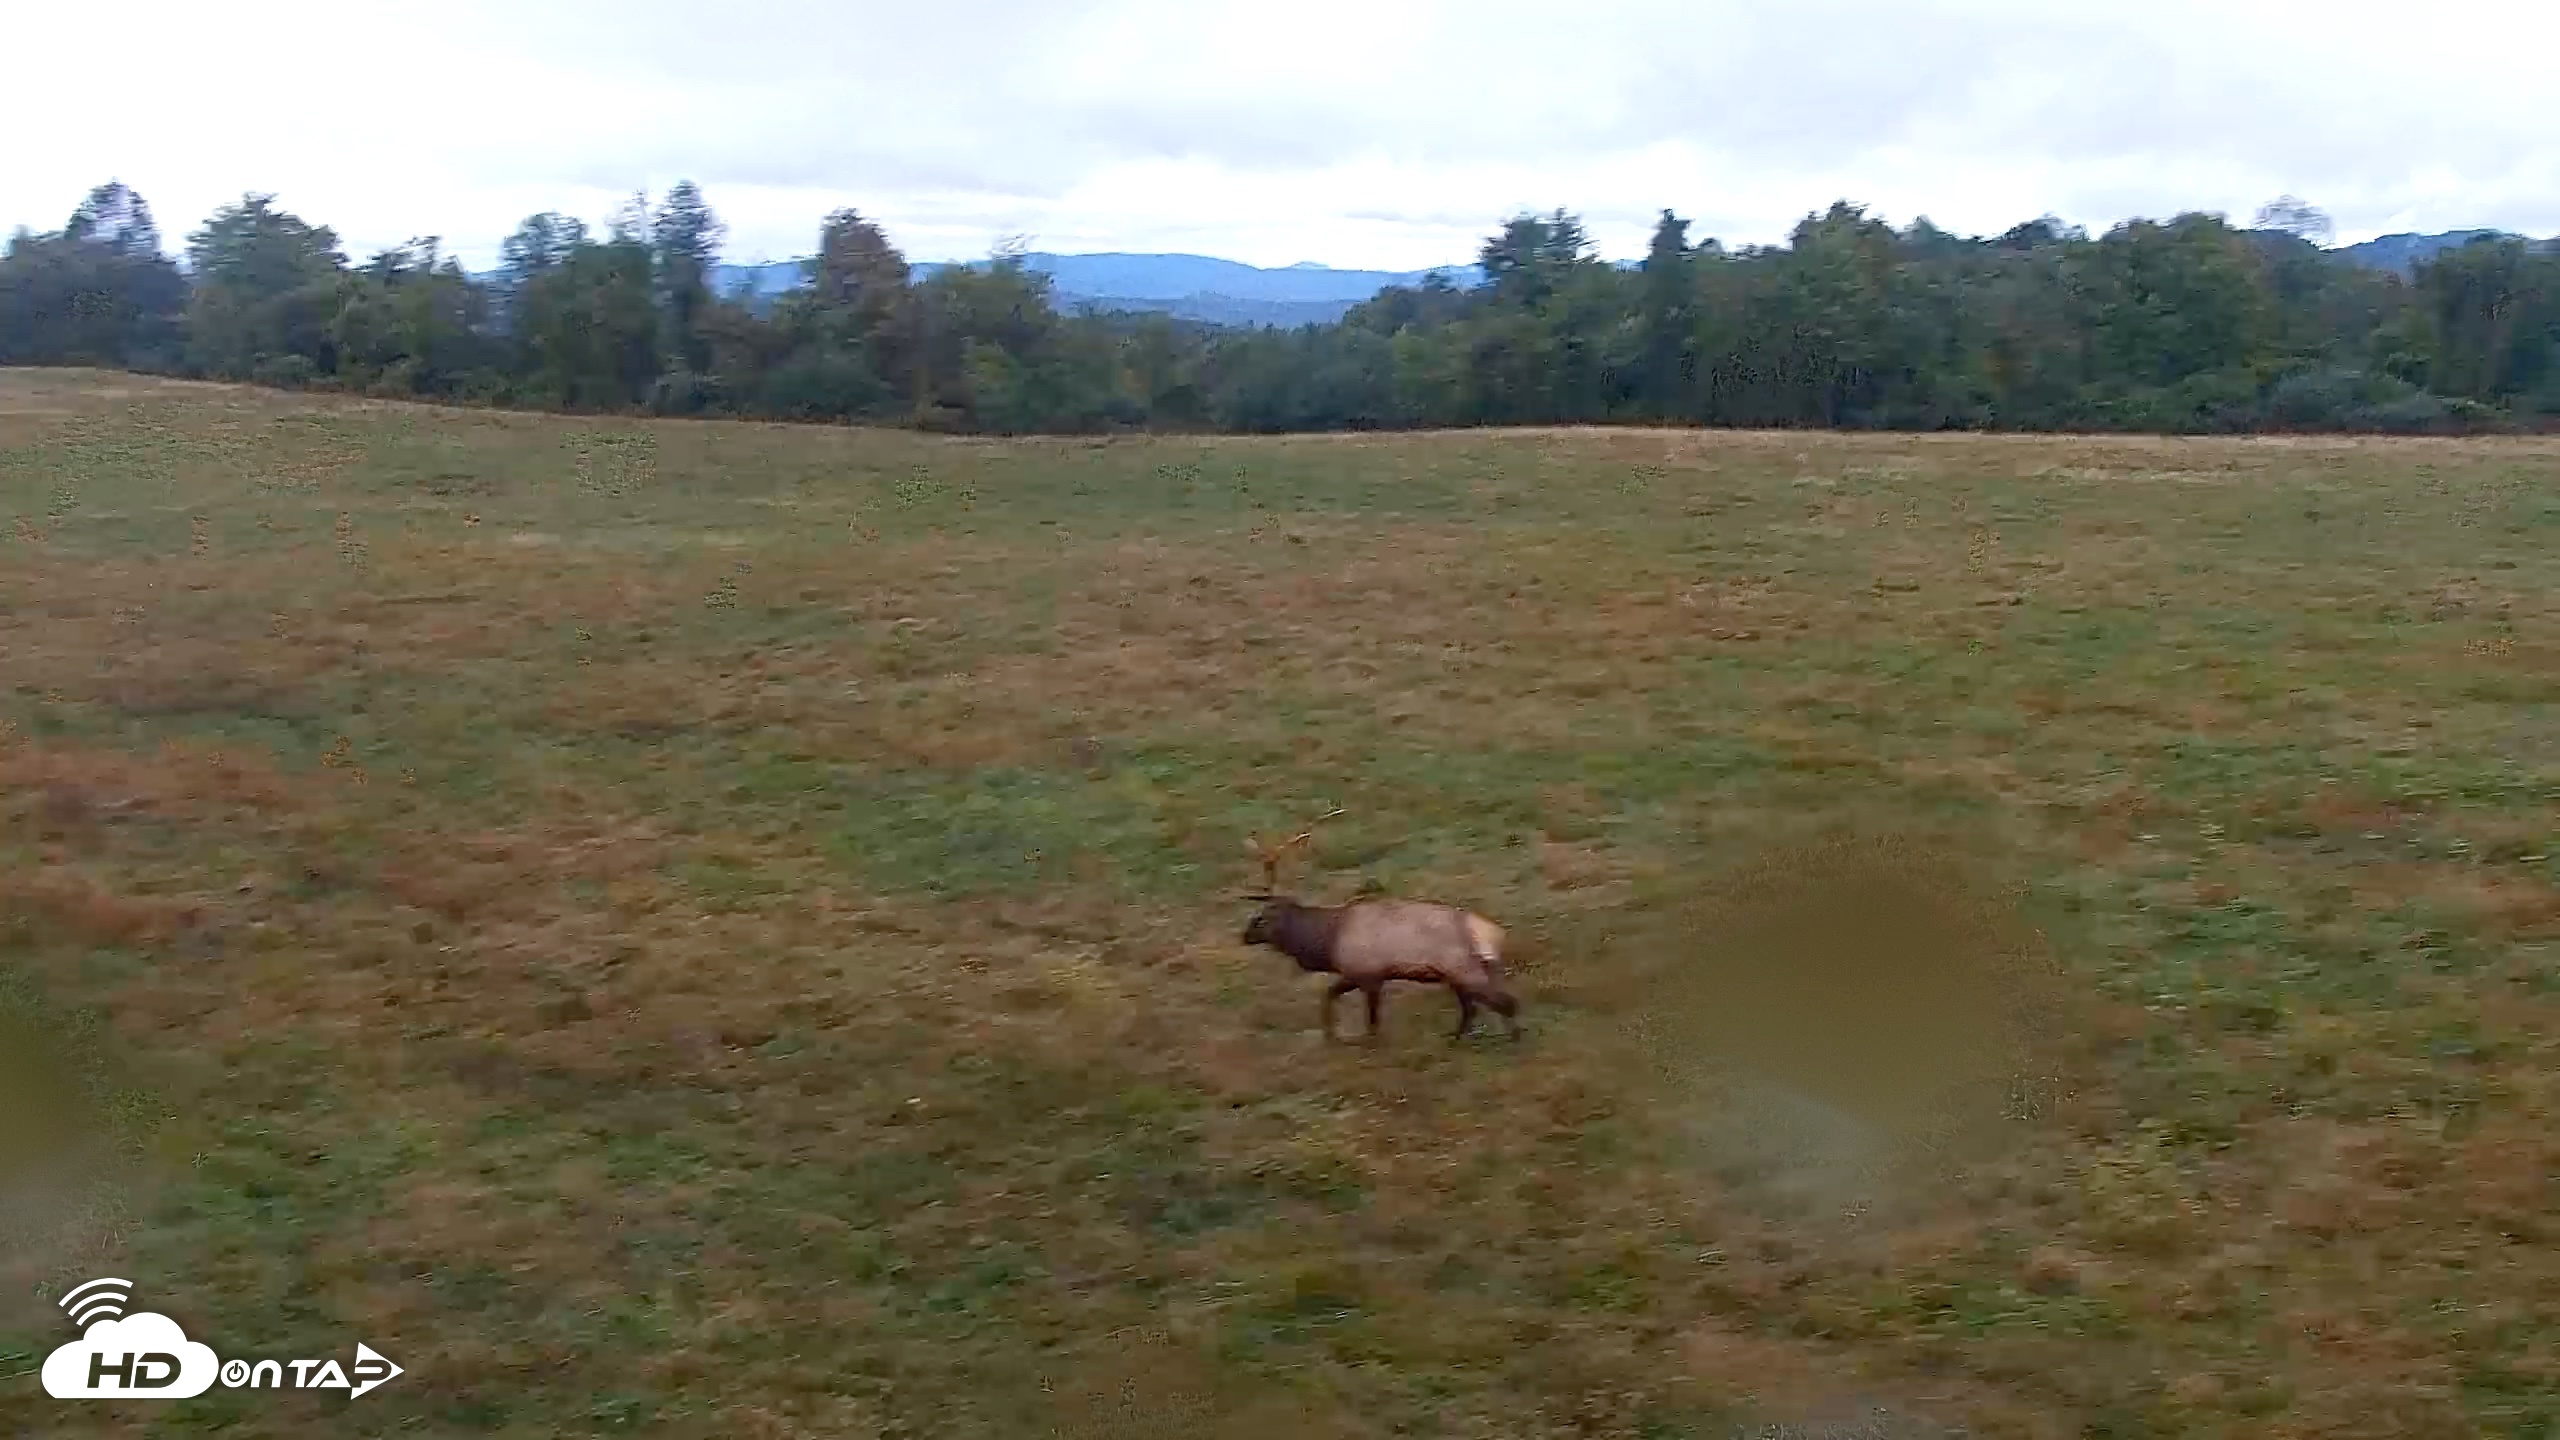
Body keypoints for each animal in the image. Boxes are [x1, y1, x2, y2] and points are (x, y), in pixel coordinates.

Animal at [1239, 808, 1522, 1045]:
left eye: (1260, 918)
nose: (1245, 936)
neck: (1325, 942)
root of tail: (1495, 935)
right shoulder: (1361, 974)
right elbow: (1330, 996)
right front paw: (1332, 1036)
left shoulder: (1367, 974)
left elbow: (1371, 1019)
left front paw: (1361, 1042)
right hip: (1465, 974)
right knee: (1475, 1007)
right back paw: (1456, 1039)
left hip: (1463, 968)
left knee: (1506, 1003)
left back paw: (1509, 1040)